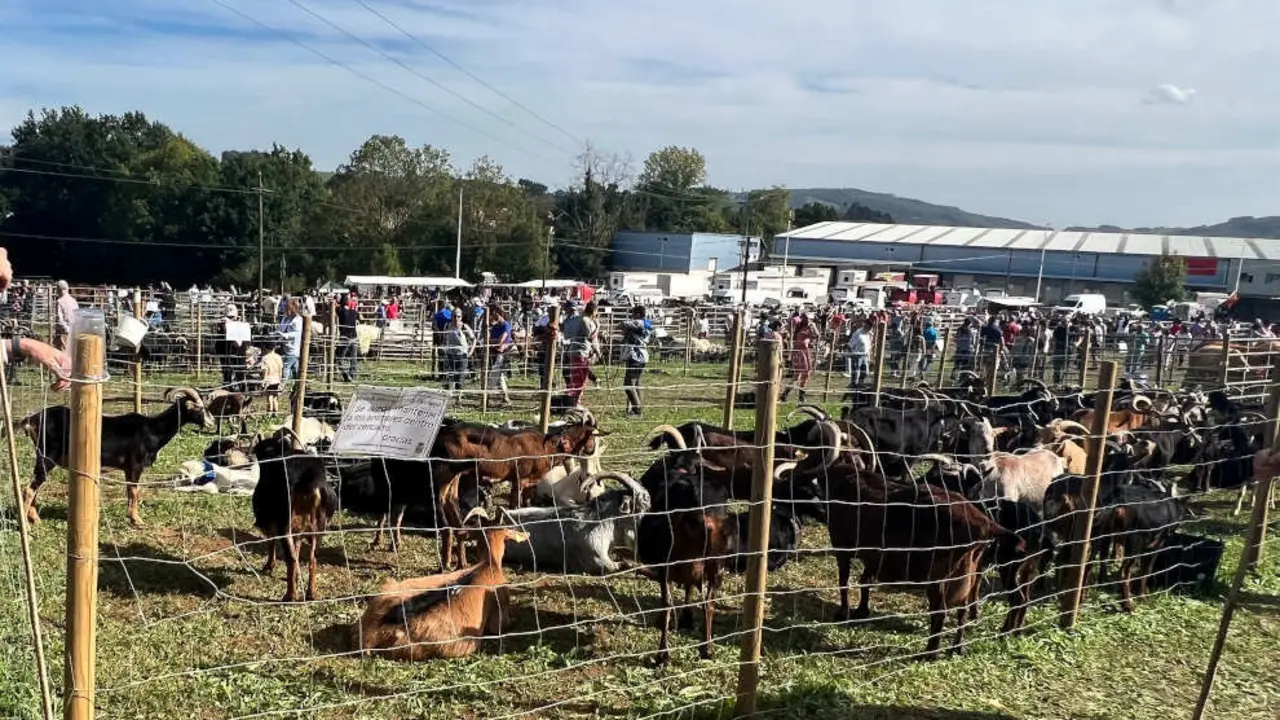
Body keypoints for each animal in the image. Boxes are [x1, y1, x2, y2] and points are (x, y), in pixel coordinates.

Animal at [19, 384, 215, 525]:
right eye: (199, 408)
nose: (212, 422)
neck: (152, 430)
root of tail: (33, 419)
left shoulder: (127, 469)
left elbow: (130, 492)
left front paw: (131, 517)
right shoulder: (135, 465)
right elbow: (135, 492)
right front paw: (138, 520)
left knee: (35, 485)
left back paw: (35, 519)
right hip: (47, 456)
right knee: (30, 488)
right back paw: (27, 525)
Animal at [249, 425, 337, 599]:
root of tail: (310, 481)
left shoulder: (269, 520)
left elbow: (271, 541)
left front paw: (268, 567)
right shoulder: (298, 531)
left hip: (285, 525)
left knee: (291, 559)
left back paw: (290, 596)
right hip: (318, 528)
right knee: (312, 559)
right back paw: (311, 593)